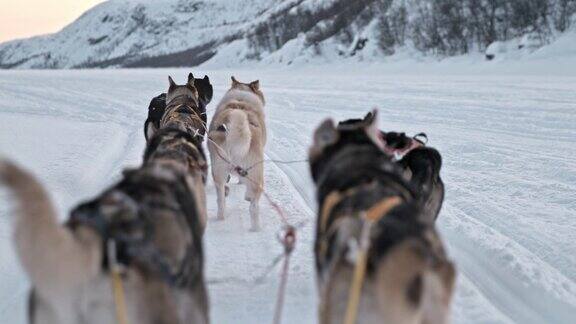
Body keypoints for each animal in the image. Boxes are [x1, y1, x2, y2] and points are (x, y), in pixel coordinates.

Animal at [208, 77, 266, 232]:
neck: (240, 99)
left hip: (219, 172)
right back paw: (256, 228)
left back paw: (221, 218)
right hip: (256, 176)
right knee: (254, 206)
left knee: (221, 199)